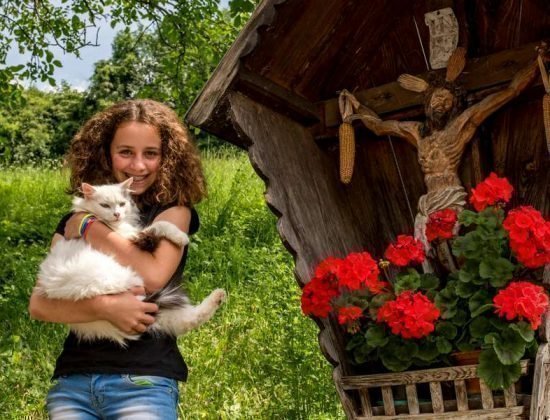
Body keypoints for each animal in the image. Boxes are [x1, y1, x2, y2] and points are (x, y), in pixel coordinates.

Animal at [36, 179, 226, 346]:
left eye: (121, 204)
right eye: (105, 205)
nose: (117, 214)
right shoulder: (128, 235)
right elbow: (161, 225)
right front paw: (181, 237)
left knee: (191, 319)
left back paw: (219, 295)